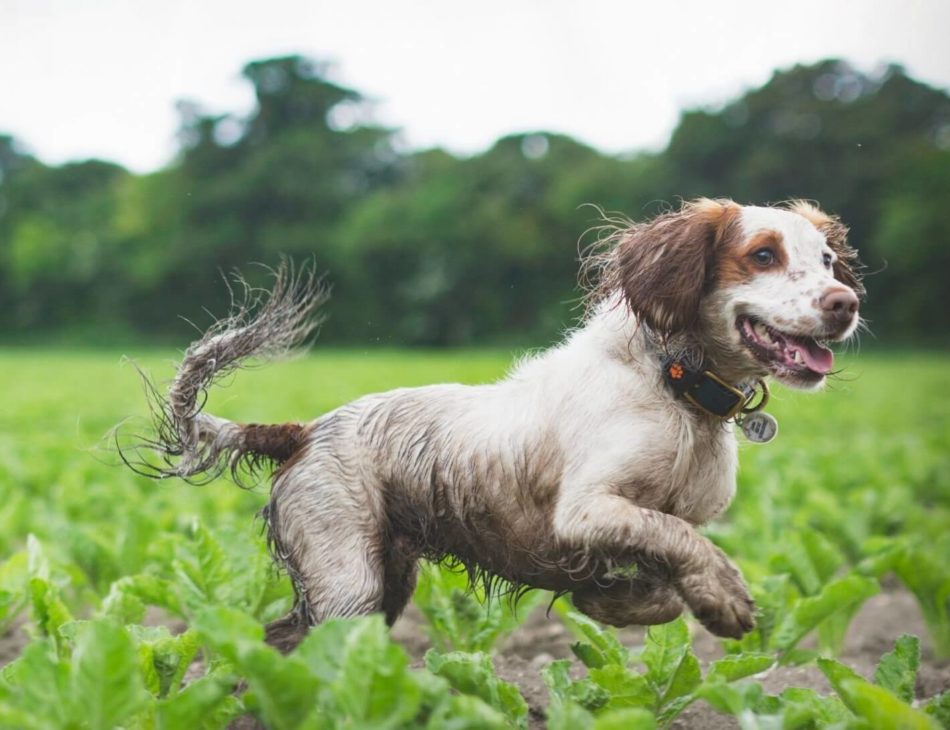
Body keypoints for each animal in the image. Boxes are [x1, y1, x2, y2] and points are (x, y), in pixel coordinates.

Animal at [126, 198, 864, 648]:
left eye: (827, 261)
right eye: (763, 254)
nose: (846, 303)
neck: (674, 388)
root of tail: (304, 432)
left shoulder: (646, 521)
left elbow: (662, 574)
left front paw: (616, 601)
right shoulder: (587, 509)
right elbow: (680, 541)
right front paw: (726, 598)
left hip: (386, 578)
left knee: (277, 643)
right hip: (350, 580)